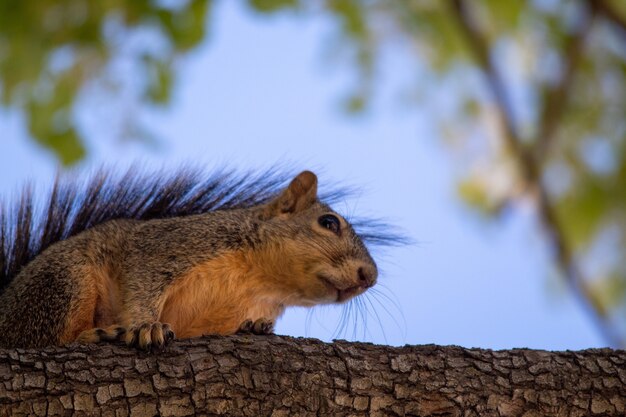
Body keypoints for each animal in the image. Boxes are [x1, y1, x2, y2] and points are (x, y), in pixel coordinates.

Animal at [0, 167, 386, 350]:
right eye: (329, 223)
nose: (369, 276)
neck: (258, 279)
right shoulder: (166, 248)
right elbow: (141, 287)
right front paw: (146, 326)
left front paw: (256, 327)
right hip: (64, 281)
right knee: (42, 338)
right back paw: (96, 335)